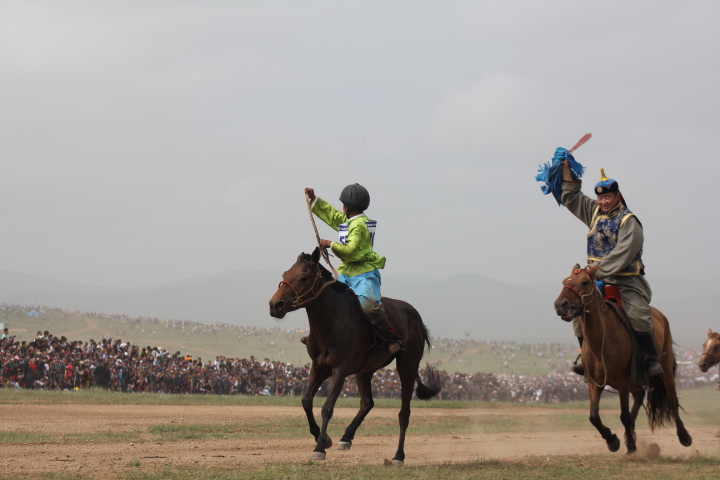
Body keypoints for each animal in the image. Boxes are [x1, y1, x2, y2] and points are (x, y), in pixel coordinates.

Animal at [269, 248, 442, 464]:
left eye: (303, 277)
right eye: (285, 275)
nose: (275, 305)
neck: (331, 321)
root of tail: (417, 318)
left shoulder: (340, 369)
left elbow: (327, 408)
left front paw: (319, 448)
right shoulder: (319, 367)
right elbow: (306, 400)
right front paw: (323, 439)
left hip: (407, 366)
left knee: (404, 412)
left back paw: (398, 456)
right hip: (364, 371)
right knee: (367, 402)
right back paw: (346, 437)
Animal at [553, 264, 691, 454]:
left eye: (585, 282)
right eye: (564, 282)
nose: (560, 305)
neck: (601, 342)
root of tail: (659, 315)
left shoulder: (622, 381)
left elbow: (624, 415)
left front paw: (631, 445)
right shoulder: (595, 382)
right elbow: (594, 417)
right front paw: (612, 440)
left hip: (665, 369)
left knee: (671, 398)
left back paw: (683, 436)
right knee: (639, 396)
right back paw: (629, 433)